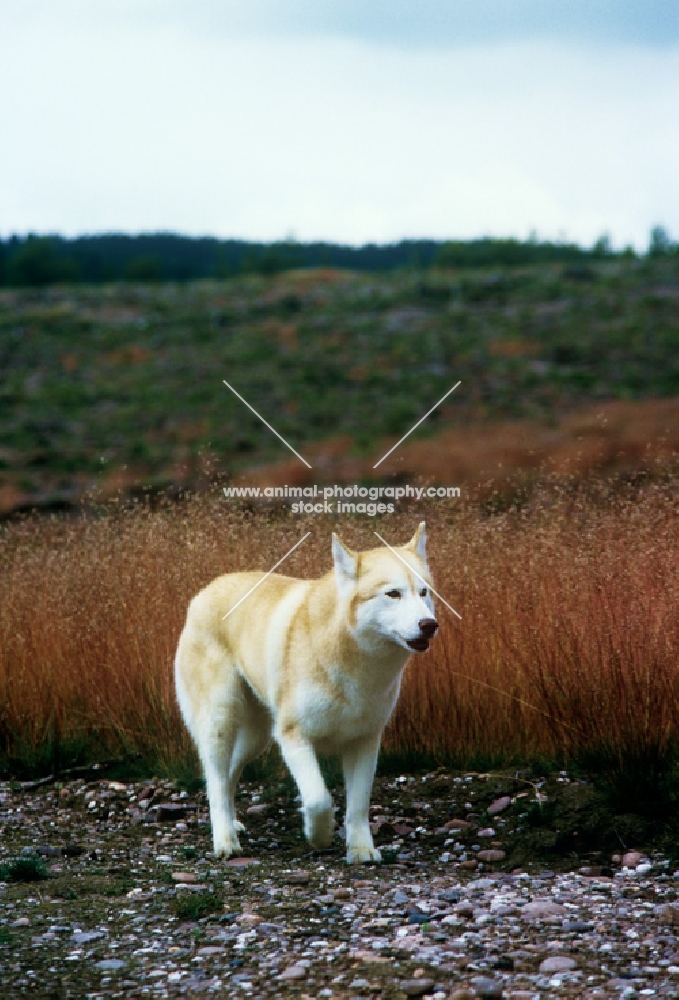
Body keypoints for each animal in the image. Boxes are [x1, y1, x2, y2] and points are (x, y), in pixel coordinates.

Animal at [175, 528, 438, 864]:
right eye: (393, 594)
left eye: (423, 592)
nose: (429, 625)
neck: (354, 662)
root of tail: (204, 592)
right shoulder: (293, 737)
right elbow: (318, 799)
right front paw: (319, 837)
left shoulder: (365, 742)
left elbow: (358, 806)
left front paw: (361, 851)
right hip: (221, 725)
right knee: (216, 781)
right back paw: (225, 841)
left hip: (257, 738)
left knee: (228, 776)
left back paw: (233, 825)